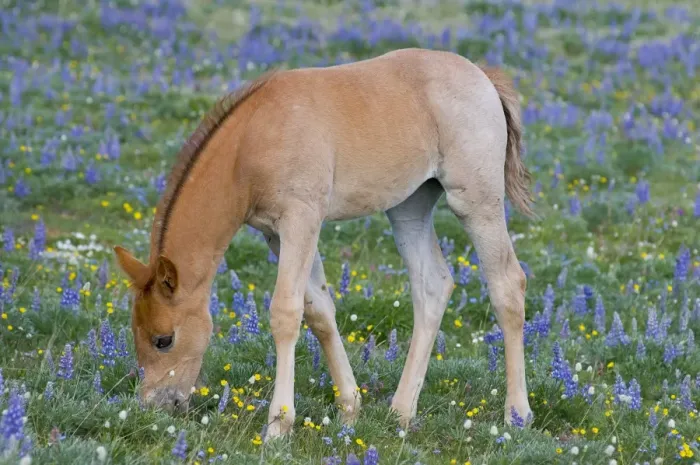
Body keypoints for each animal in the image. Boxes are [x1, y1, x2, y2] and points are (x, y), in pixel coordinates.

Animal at [113, 47, 534, 441]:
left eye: (163, 340)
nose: (153, 405)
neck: (252, 141)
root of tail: (482, 75)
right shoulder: (275, 232)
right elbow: (318, 311)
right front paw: (350, 409)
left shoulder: (301, 219)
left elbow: (286, 312)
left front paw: (278, 426)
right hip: (407, 208)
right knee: (433, 285)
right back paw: (400, 412)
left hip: (475, 200)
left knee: (507, 285)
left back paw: (517, 414)